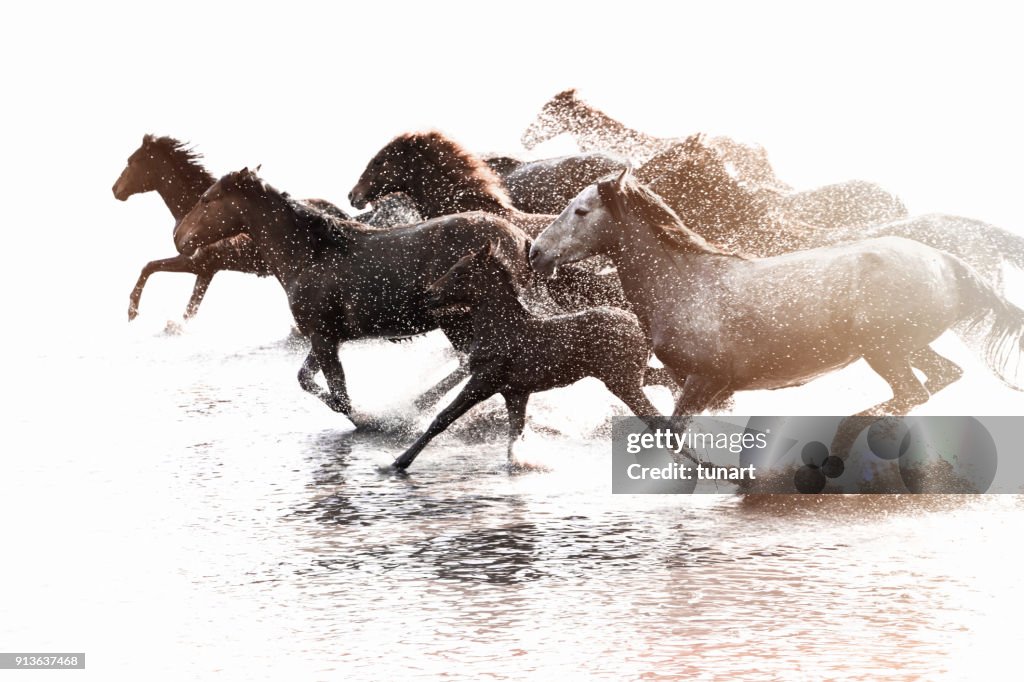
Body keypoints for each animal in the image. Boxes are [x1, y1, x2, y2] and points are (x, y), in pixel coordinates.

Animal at [116, 137, 423, 323]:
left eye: (131, 162)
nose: (115, 190)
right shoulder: (206, 271)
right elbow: (189, 308)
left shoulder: (196, 263)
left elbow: (149, 267)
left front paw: (132, 312)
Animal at [173, 165, 536, 419]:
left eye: (206, 199)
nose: (178, 237)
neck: (311, 254)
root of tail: (522, 239)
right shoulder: (326, 335)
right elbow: (306, 379)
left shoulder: (322, 336)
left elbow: (340, 396)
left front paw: (369, 420)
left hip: (457, 320)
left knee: (470, 363)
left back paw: (418, 404)